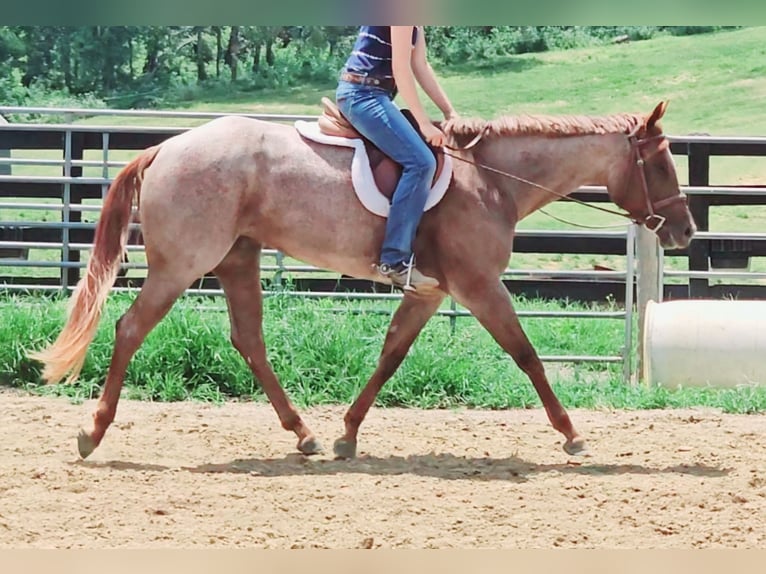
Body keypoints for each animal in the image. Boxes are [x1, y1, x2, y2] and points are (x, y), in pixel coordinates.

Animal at [28, 100, 696, 464]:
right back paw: (91, 433)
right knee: (131, 328)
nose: (687, 231)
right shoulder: (479, 287)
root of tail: (164, 148)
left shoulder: (429, 292)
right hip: (182, 264)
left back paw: (304, 435)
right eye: (663, 163)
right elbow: (527, 354)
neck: (491, 181)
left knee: (249, 341)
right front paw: (573, 436)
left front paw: (347, 434)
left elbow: (390, 354)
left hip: (237, 258)